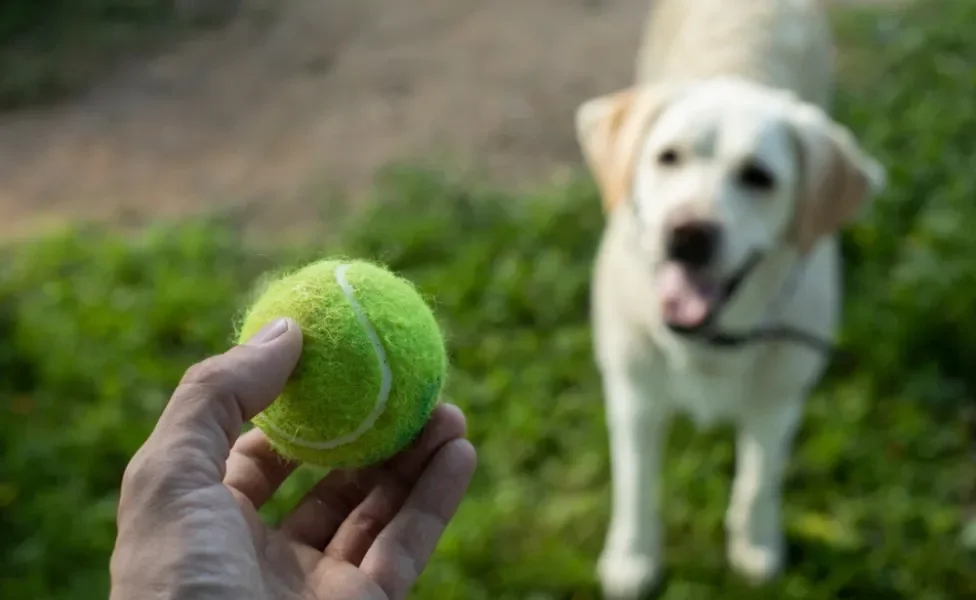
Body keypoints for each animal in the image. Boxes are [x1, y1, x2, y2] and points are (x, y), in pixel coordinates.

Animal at [572, 2, 884, 596]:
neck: (708, 343)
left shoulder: (778, 403)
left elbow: (759, 480)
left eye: (758, 177)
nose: (687, 234)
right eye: (667, 158)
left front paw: (756, 543)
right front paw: (632, 556)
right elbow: (636, 484)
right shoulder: (634, 395)